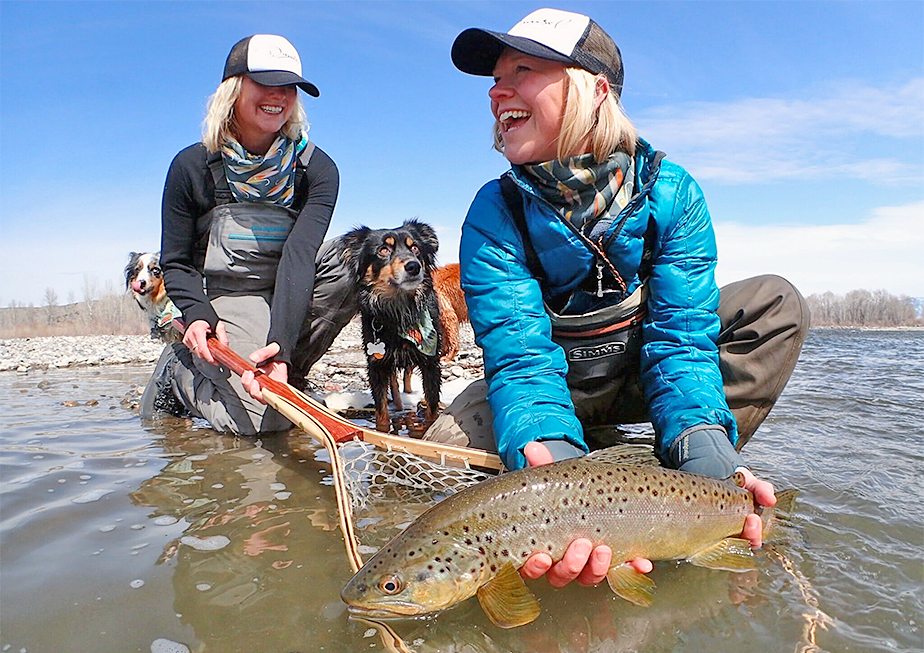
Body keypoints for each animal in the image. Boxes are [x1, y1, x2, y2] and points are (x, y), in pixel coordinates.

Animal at [340, 219, 440, 432]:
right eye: (383, 250)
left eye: (415, 248)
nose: (414, 266)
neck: (398, 309)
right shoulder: (377, 365)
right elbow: (381, 413)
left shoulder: (430, 363)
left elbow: (432, 408)